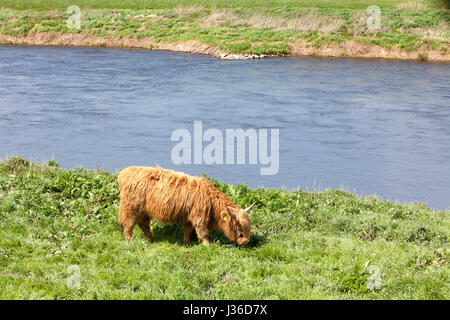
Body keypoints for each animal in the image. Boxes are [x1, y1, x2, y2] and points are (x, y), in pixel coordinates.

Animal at [118, 166, 255, 246]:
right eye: (238, 226)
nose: (246, 241)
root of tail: (125, 173)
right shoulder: (199, 217)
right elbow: (202, 232)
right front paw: (207, 245)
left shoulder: (189, 216)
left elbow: (187, 229)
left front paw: (186, 242)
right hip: (130, 208)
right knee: (129, 225)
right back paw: (129, 242)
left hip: (144, 211)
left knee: (144, 225)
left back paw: (153, 240)